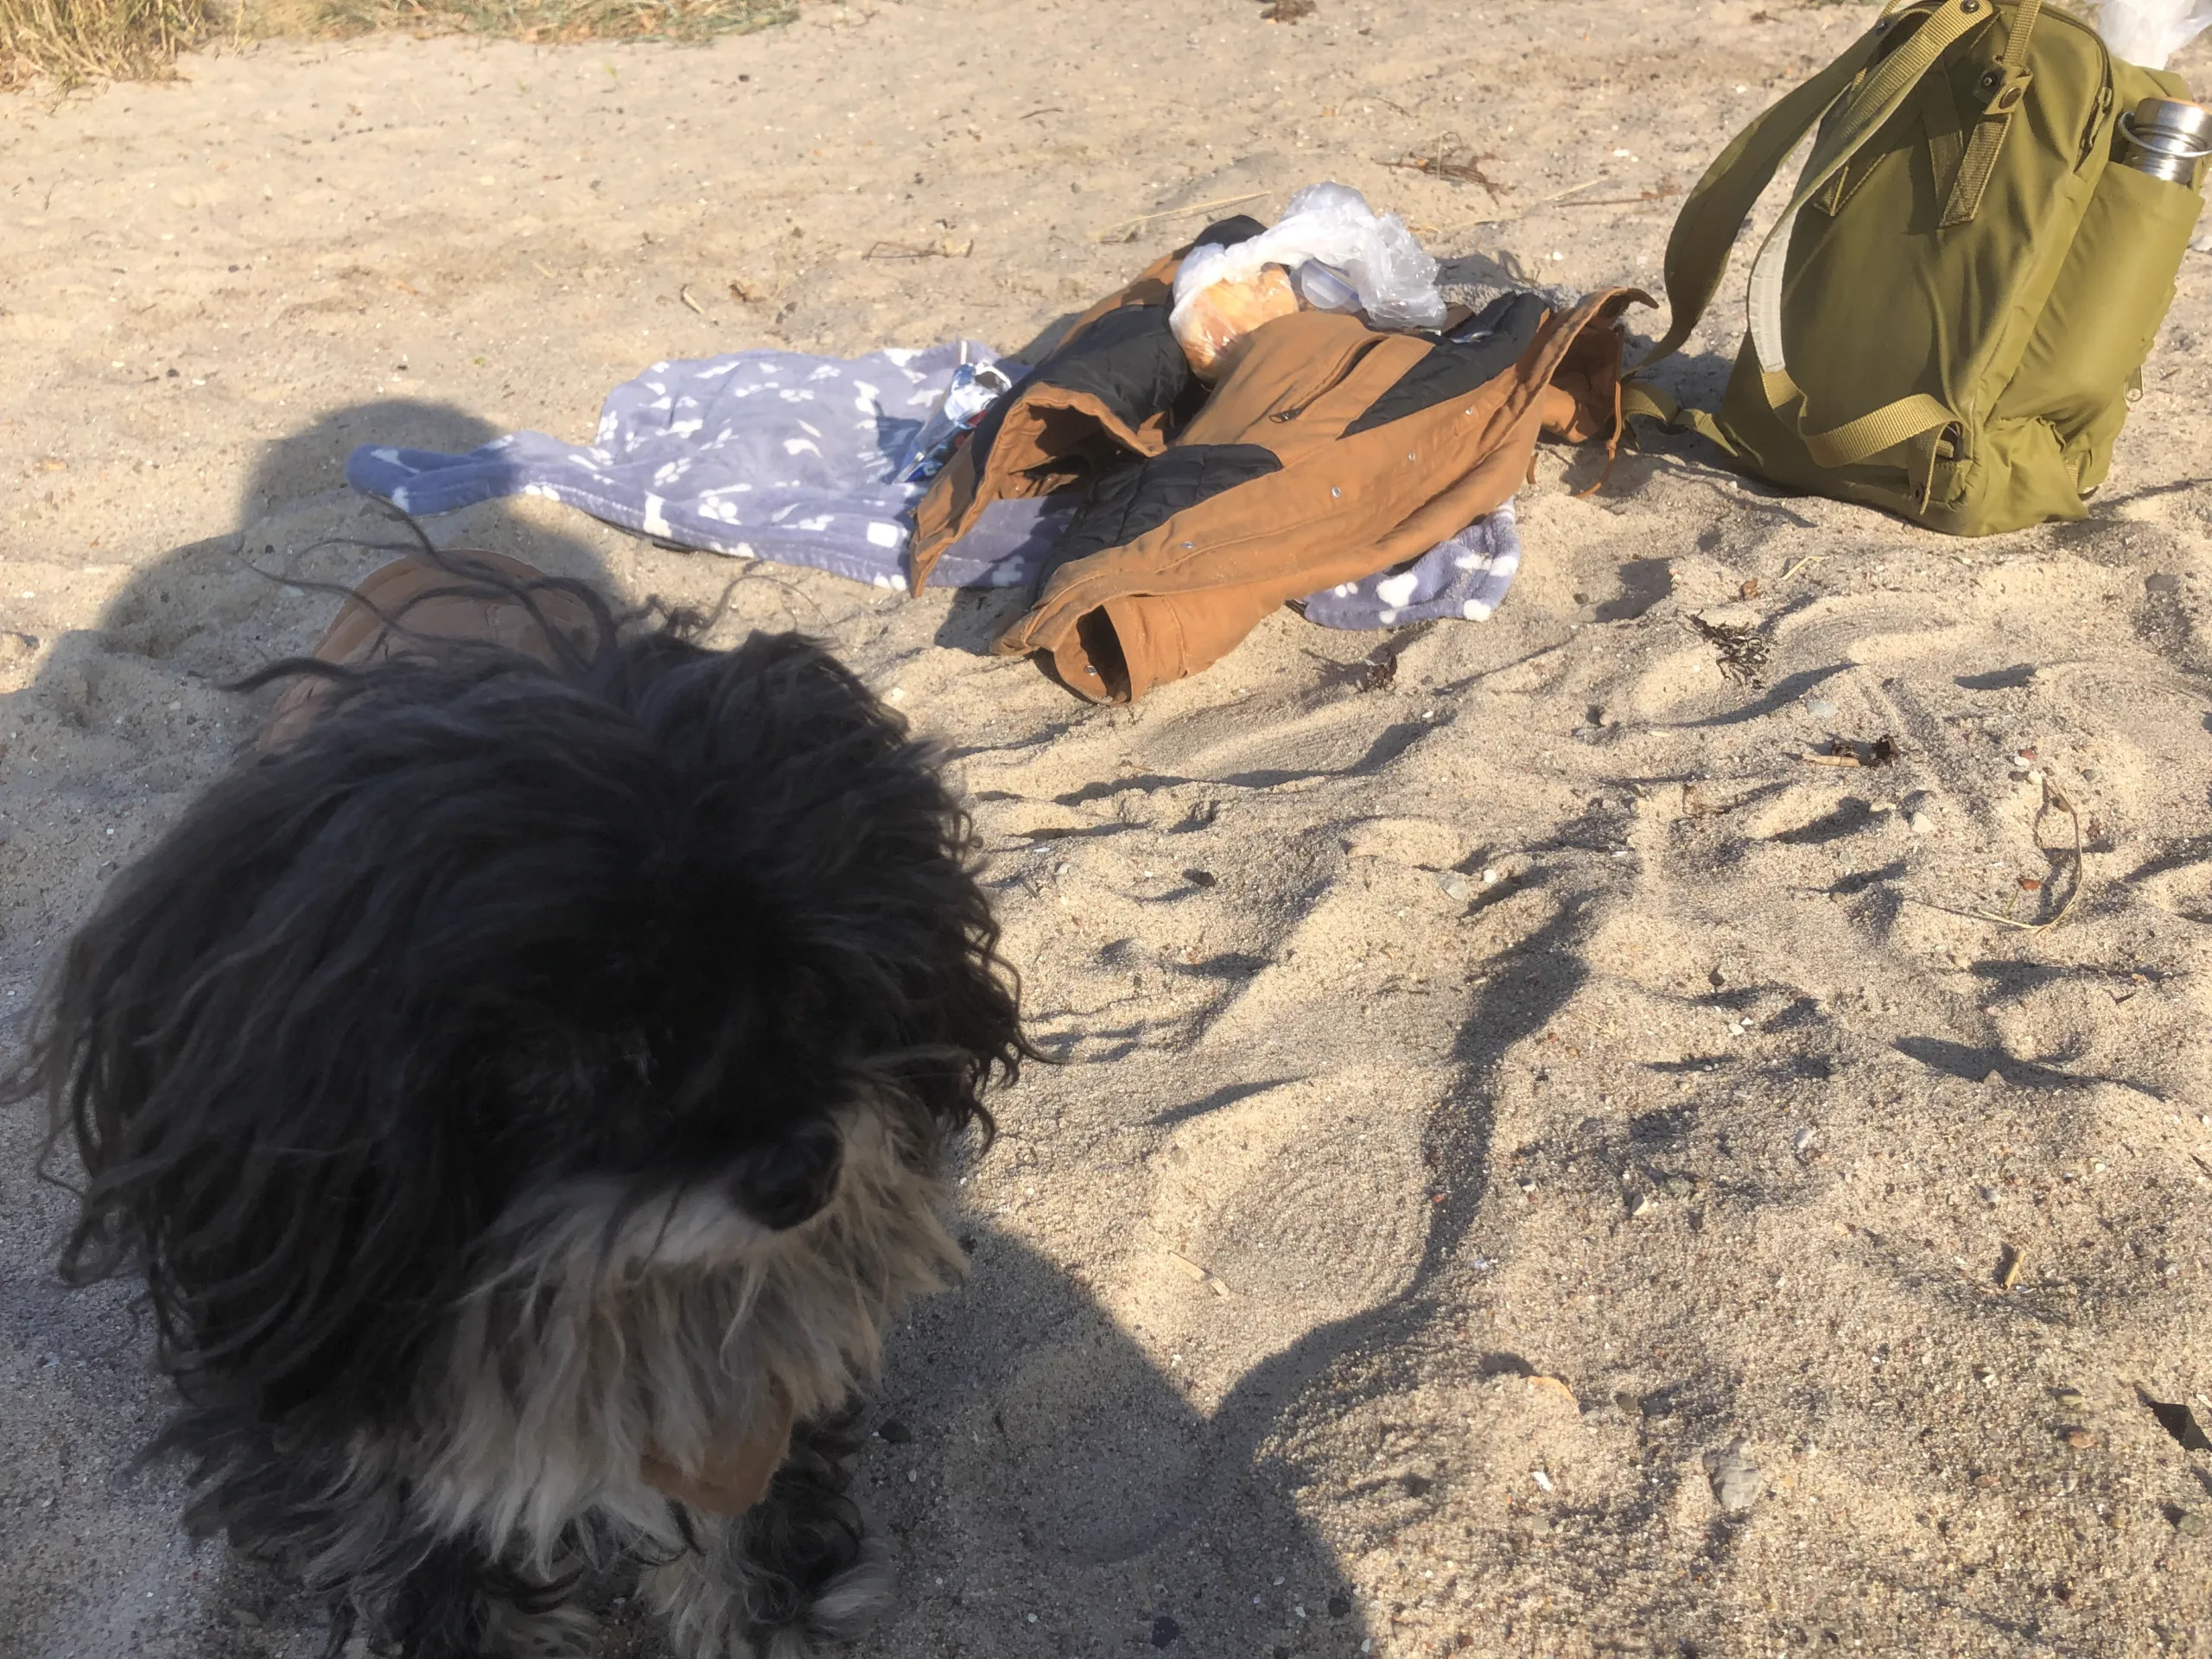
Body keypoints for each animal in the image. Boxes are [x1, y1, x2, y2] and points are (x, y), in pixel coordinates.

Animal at [21, 555, 1021, 1659]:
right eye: (584, 1050)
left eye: (808, 989)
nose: (802, 1174)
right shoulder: (360, 1406)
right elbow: (423, 1554)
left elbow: (740, 1491)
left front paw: (765, 1610)